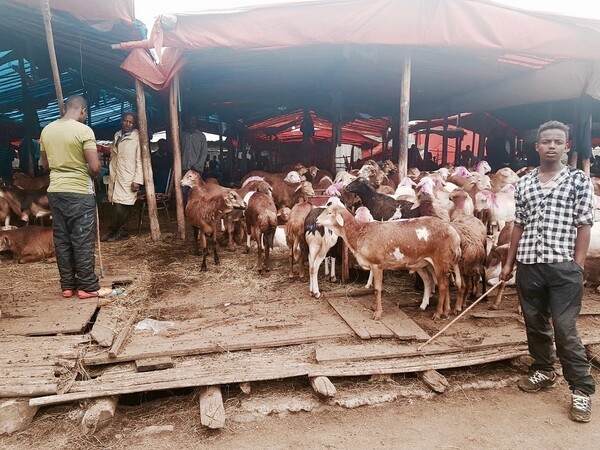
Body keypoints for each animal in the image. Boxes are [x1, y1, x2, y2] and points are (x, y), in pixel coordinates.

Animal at [316, 205, 462, 320]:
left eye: (329, 213)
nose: (316, 220)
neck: (359, 233)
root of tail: (454, 233)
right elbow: (375, 289)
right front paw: (374, 306)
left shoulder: (377, 265)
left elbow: (377, 288)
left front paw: (377, 313)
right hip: (425, 263)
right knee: (434, 282)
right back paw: (443, 311)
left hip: (440, 260)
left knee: (442, 286)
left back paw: (438, 314)